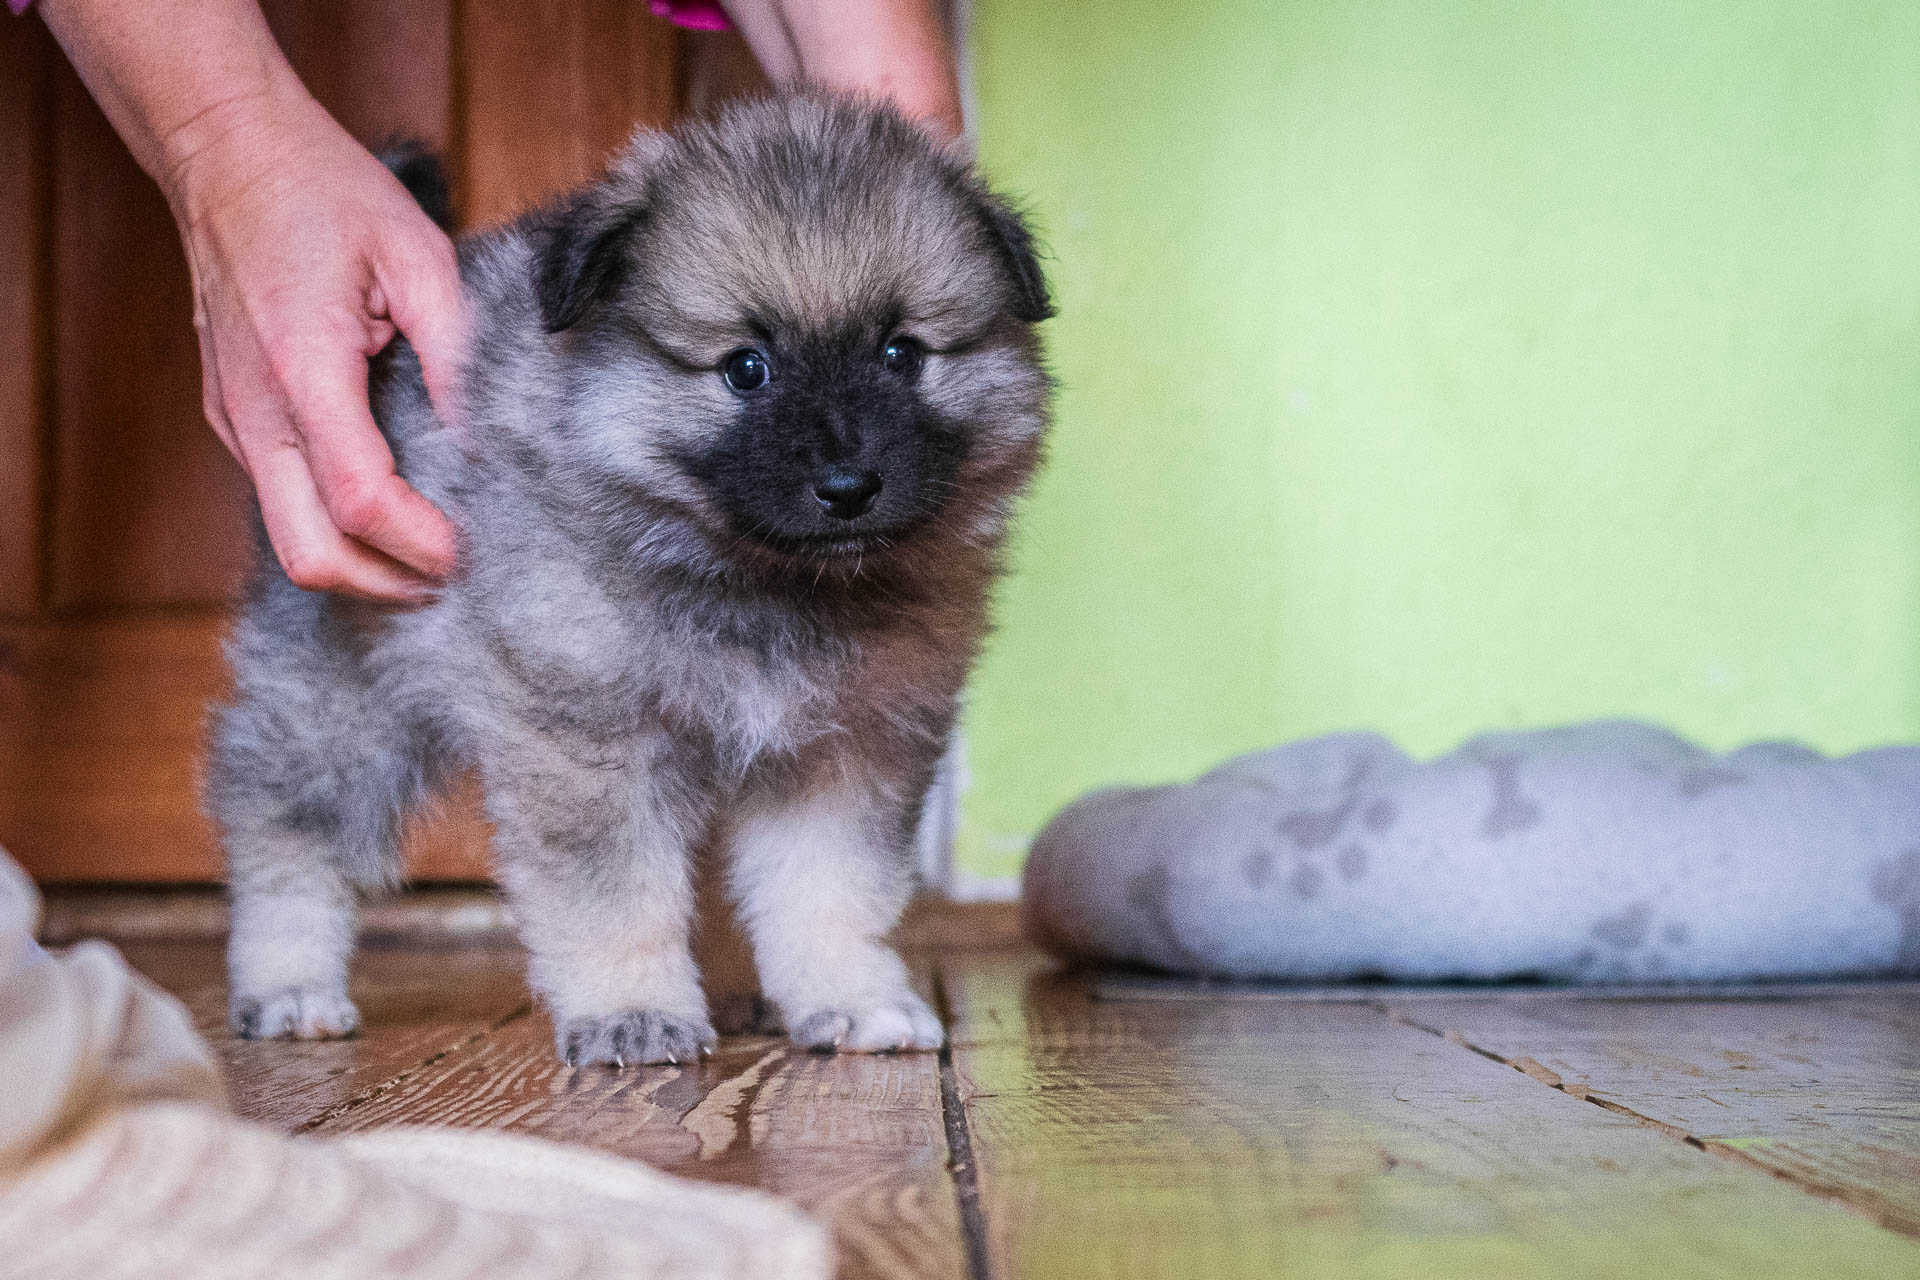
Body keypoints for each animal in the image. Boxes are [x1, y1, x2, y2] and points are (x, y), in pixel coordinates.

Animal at [208, 92, 1052, 1074]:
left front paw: (848, 997)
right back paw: (289, 983)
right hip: (343, 708)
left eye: (901, 354)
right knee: (282, 830)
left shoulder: (843, 749)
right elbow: (613, 896)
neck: (756, 579)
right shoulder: (589, 737)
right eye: (746, 368)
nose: (848, 487)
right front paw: (634, 1010)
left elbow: (828, 891)